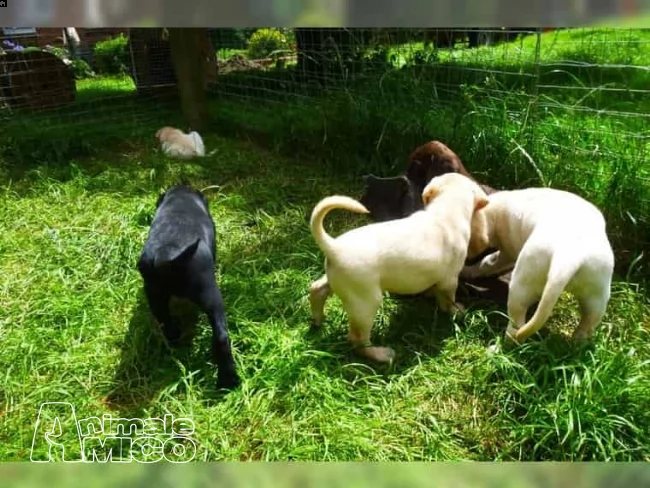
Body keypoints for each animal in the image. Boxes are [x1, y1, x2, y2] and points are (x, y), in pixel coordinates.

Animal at [137, 185, 240, 390]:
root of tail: (167, 259)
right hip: (212, 297)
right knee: (221, 337)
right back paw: (228, 380)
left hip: (154, 296)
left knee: (165, 324)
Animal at [308, 172, 486, 362]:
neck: (445, 210)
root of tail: (333, 246)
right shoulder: (450, 280)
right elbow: (447, 299)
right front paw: (455, 311)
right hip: (366, 302)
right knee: (357, 339)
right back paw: (381, 354)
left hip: (337, 280)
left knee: (317, 289)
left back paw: (317, 319)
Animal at [460, 185, 612, 348]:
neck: (497, 211)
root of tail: (569, 256)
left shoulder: (508, 252)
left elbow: (487, 264)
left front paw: (467, 271)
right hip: (596, 296)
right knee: (587, 325)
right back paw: (577, 346)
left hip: (522, 285)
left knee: (515, 327)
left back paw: (498, 347)